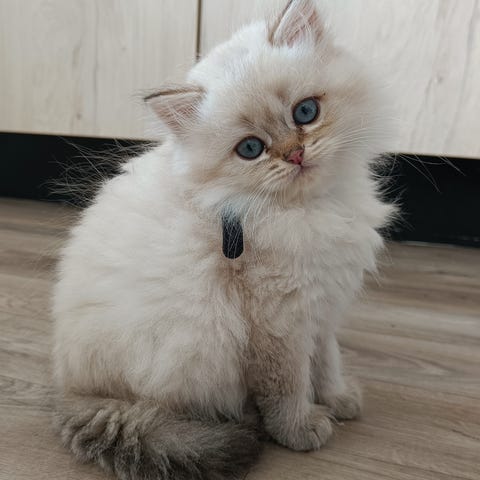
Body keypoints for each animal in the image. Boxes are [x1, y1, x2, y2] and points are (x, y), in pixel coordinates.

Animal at [52, 1, 393, 479]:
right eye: (250, 149)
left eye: (305, 113)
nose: (295, 155)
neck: (310, 210)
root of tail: (72, 392)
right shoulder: (279, 323)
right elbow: (288, 386)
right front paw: (301, 428)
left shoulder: (322, 307)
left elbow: (328, 362)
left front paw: (339, 399)